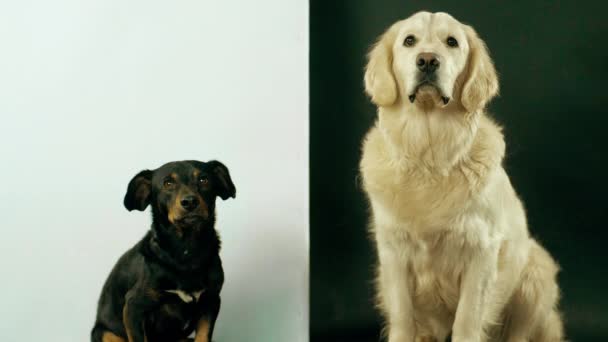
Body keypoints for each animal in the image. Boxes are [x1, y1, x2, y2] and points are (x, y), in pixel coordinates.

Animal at [91, 160, 236, 342]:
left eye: (204, 180)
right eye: (168, 183)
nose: (190, 202)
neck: (186, 250)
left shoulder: (211, 302)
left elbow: (203, 336)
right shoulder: (133, 307)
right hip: (106, 334)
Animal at [358, 10, 564, 342]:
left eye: (452, 42)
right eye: (409, 41)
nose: (428, 60)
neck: (429, 156)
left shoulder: (481, 252)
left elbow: (467, 319)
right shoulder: (392, 251)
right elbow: (403, 317)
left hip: (536, 271)